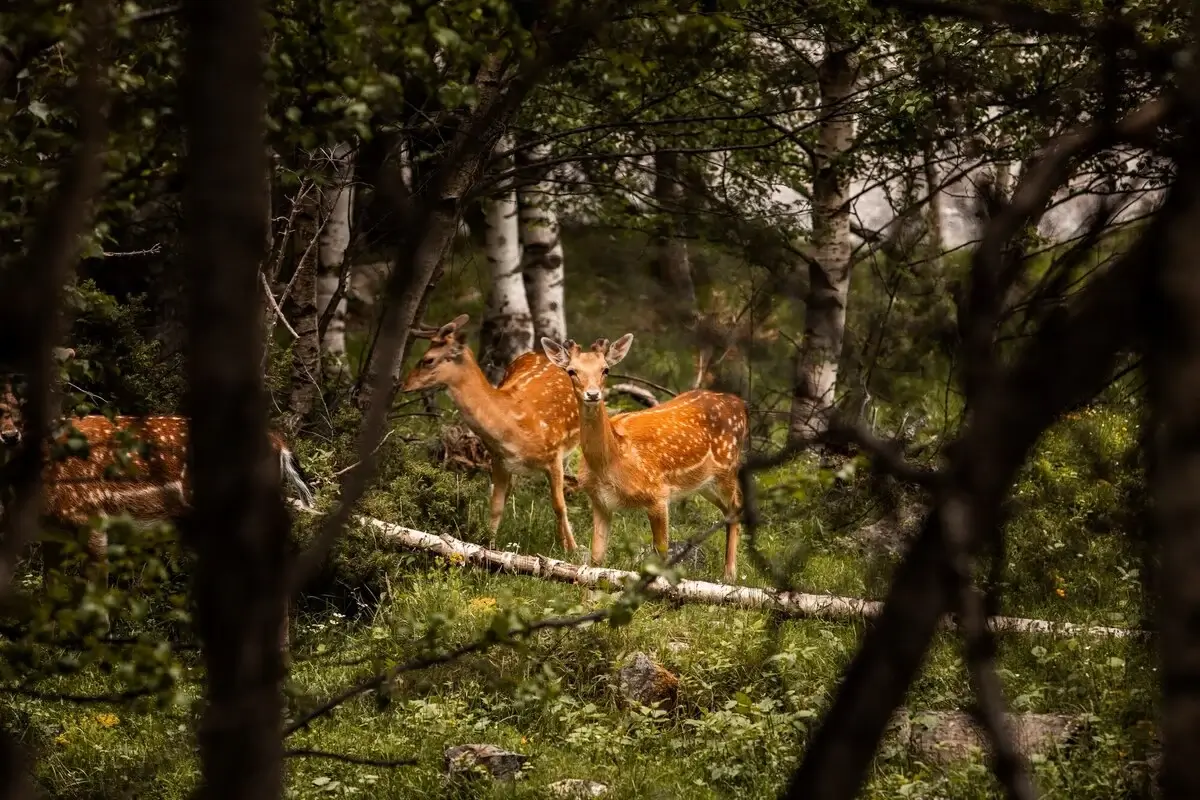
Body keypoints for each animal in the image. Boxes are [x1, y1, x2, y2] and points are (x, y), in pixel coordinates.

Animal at [400, 314, 583, 556]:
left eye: (428, 359)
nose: (404, 385)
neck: (513, 426)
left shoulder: (554, 454)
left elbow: (560, 506)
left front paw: (573, 551)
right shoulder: (499, 459)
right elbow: (496, 505)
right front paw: (489, 547)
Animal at [540, 331, 744, 582]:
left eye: (605, 369)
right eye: (571, 371)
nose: (593, 394)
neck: (611, 462)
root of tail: (741, 404)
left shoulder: (658, 494)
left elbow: (661, 555)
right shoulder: (600, 502)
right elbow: (596, 561)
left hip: (728, 468)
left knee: (736, 506)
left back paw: (730, 575)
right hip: (705, 484)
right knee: (728, 510)